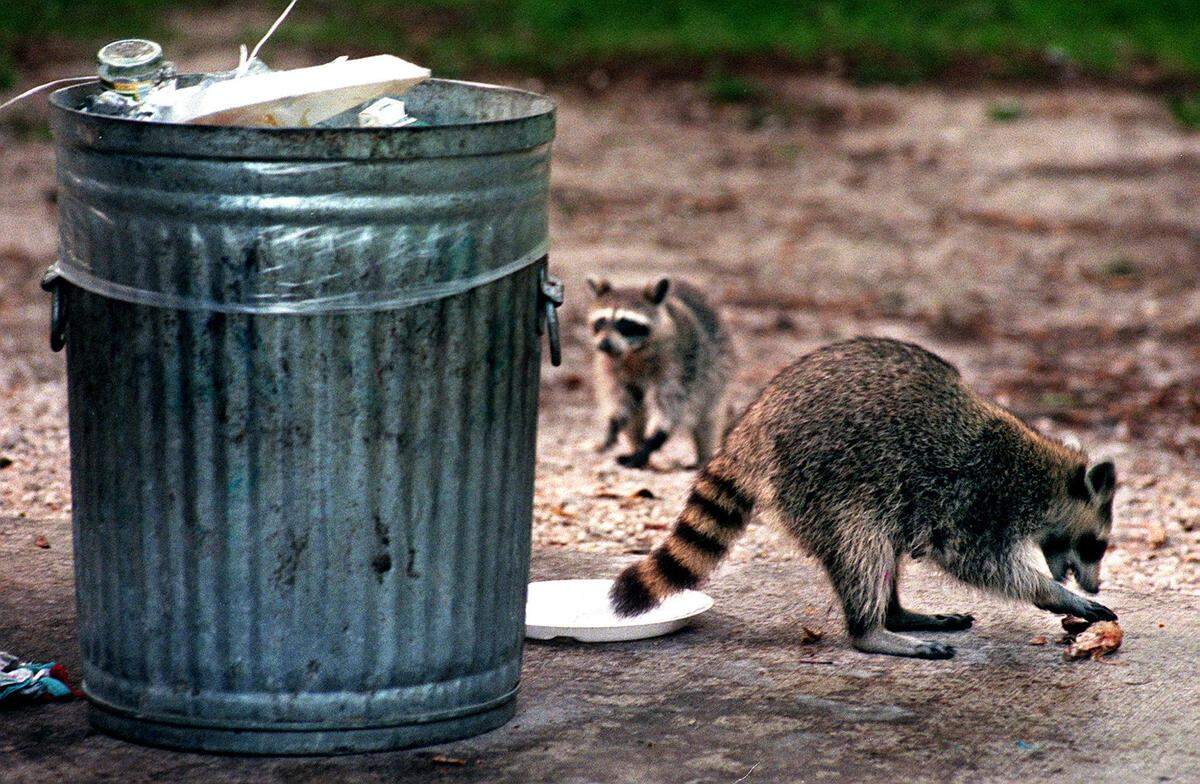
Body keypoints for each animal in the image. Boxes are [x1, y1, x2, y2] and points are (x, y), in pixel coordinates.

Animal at [587, 277, 735, 469]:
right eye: (601, 321)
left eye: (625, 323)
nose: (603, 345)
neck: (634, 353)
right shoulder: (610, 366)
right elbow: (619, 397)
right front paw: (614, 423)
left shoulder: (679, 362)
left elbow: (671, 403)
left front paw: (654, 438)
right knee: (635, 417)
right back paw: (637, 447)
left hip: (717, 370)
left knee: (708, 418)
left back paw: (702, 456)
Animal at [611, 337, 1118, 659]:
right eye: (1096, 544)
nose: (1093, 584)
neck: (1046, 478)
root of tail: (758, 415)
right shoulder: (979, 494)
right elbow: (978, 561)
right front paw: (1051, 592)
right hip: (822, 479)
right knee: (862, 545)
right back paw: (871, 629)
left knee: (882, 545)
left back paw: (896, 613)